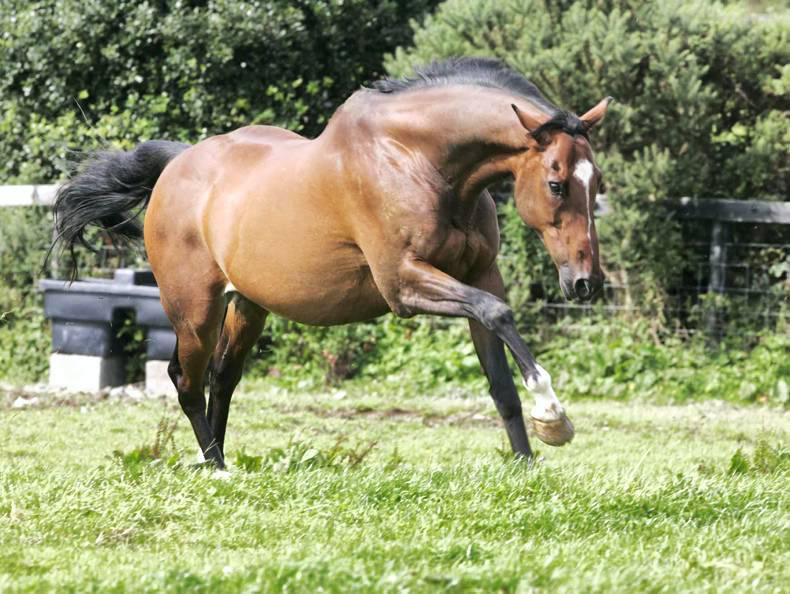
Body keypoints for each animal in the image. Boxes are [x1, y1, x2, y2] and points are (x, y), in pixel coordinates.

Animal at [53, 58, 609, 468]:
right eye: (557, 183)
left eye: (597, 182)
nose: (586, 283)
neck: (418, 159)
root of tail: (178, 163)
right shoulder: (404, 285)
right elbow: (498, 314)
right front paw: (553, 417)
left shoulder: (479, 275)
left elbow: (500, 379)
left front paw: (527, 465)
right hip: (194, 309)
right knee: (186, 380)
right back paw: (216, 468)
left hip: (247, 306)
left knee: (222, 378)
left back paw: (220, 459)